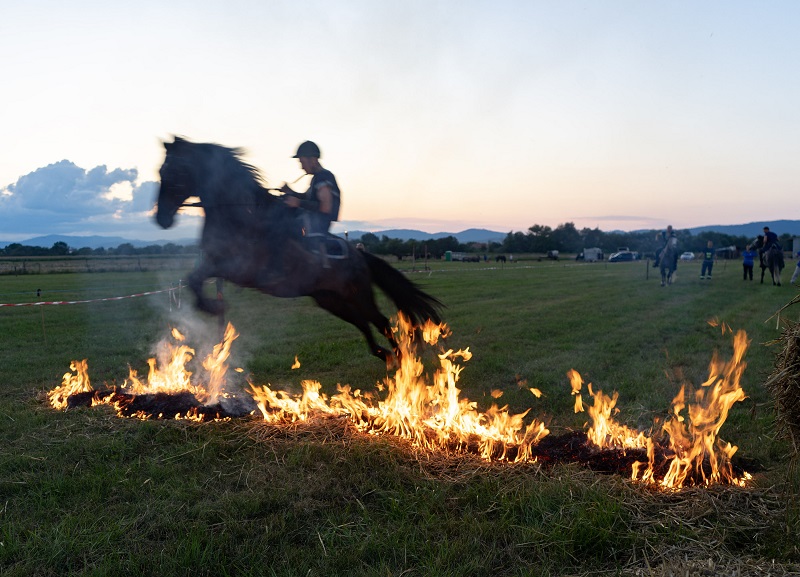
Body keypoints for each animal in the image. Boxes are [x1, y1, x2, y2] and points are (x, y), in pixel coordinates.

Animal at [155, 136, 444, 360]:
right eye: (160, 172)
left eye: (172, 172)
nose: (161, 219)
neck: (241, 216)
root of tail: (360, 255)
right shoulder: (215, 264)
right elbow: (193, 279)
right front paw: (215, 308)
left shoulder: (234, 269)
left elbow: (194, 280)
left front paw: (214, 307)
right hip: (330, 300)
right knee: (363, 324)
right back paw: (385, 355)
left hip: (357, 295)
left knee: (381, 321)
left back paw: (400, 360)